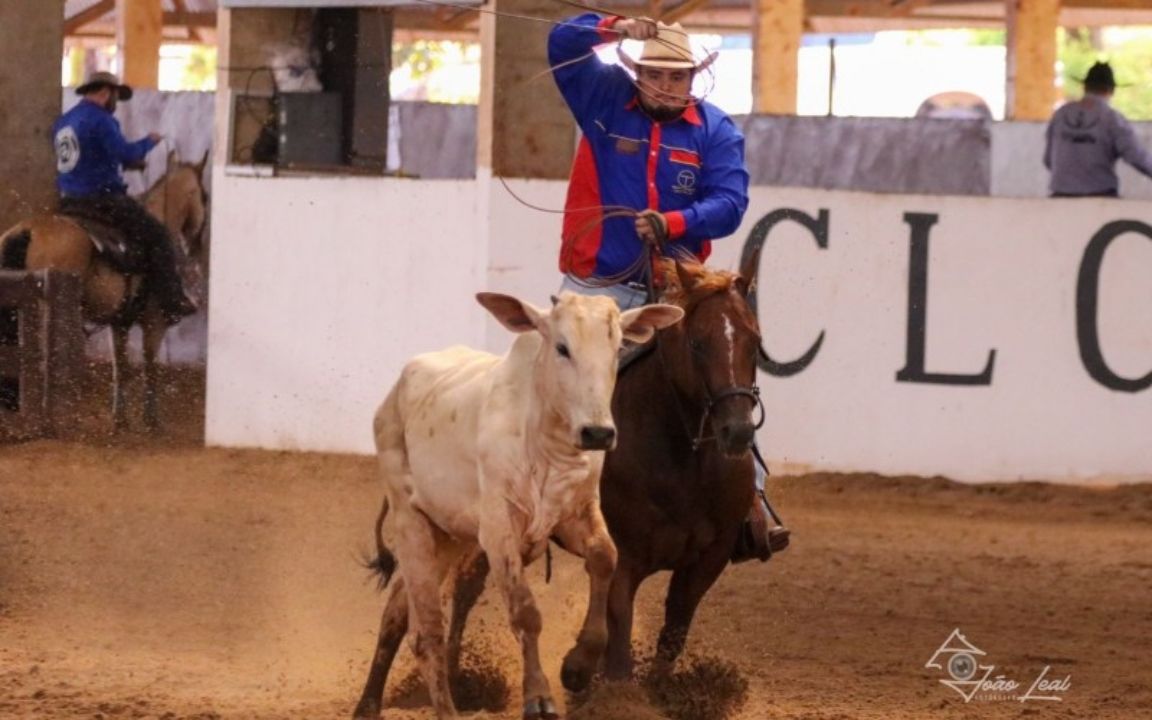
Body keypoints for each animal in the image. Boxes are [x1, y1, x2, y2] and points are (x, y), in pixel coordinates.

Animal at [0, 152, 209, 428]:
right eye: (205, 196)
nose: (197, 246)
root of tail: (30, 230)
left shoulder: (118, 322)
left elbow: (120, 367)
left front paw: (119, 418)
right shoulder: (154, 321)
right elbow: (150, 366)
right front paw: (151, 419)